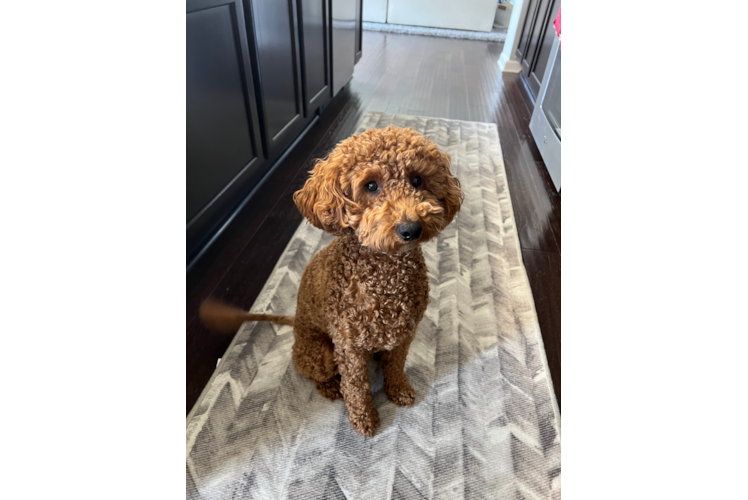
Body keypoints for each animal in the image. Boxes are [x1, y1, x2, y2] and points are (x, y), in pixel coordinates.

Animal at [202, 126, 464, 438]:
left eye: (417, 180)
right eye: (371, 186)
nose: (411, 228)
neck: (386, 274)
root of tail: (296, 323)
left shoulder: (405, 334)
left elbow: (396, 366)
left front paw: (398, 390)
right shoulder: (348, 347)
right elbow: (356, 385)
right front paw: (365, 419)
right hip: (320, 352)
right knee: (312, 371)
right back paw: (329, 387)